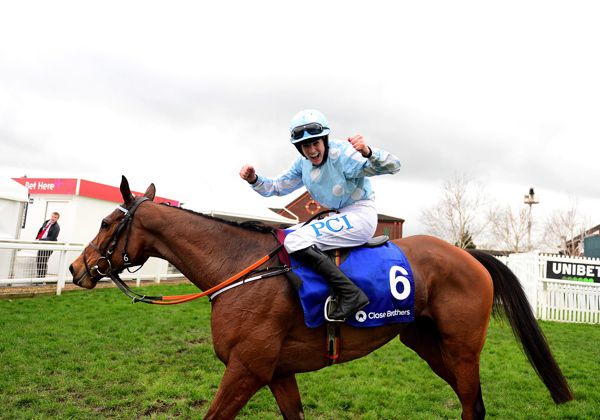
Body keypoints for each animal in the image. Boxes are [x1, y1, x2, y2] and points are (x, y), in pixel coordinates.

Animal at [69, 177, 572, 420]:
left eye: (108, 222)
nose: (76, 268)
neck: (241, 269)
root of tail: (470, 256)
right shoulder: (276, 372)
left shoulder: (246, 369)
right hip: (427, 344)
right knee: (473, 403)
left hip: (463, 347)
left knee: (472, 405)